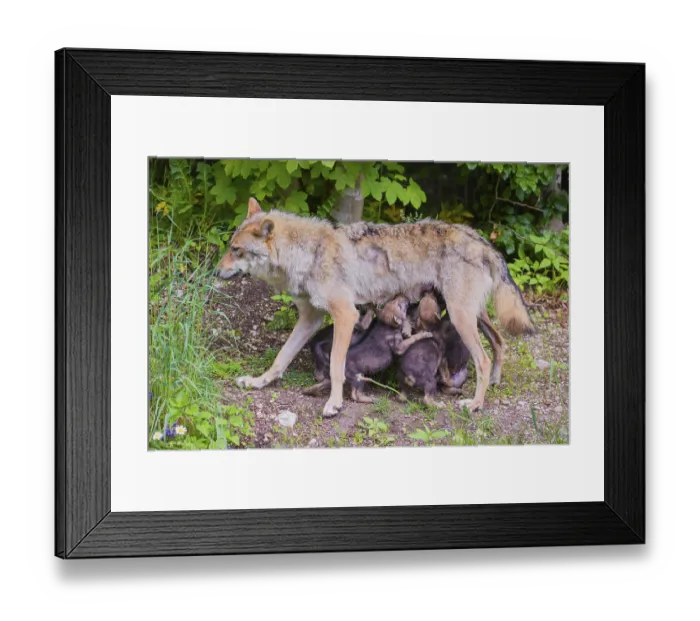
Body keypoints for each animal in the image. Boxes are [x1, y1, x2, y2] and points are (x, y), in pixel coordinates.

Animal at [215, 197, 534, 417]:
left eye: (236, 250)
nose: (216, 272)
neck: (308, 253)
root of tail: (479, 239)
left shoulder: (345, 315)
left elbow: (336, 365)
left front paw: (334, 404)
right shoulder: (310, 318)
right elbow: (280, 358)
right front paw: (258, 382)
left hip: (461, 317)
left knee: (484, 359)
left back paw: (476, 404)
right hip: (472, 316)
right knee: (500, 343)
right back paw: (495, 383)